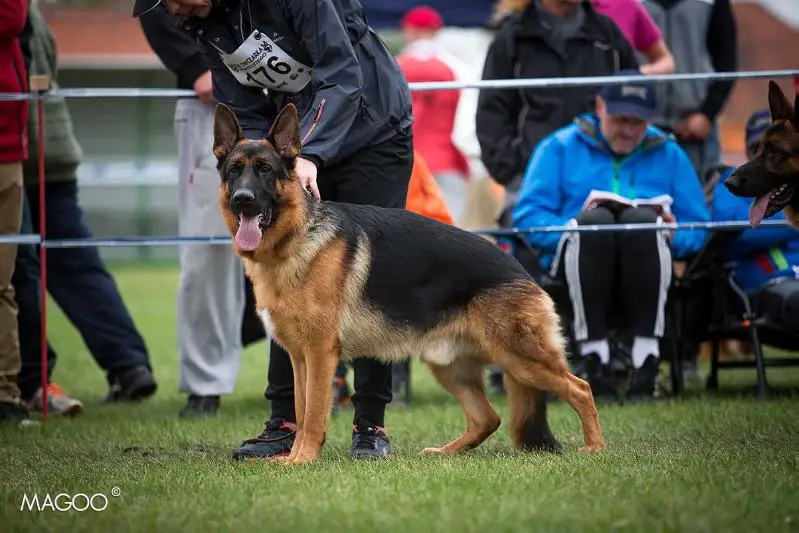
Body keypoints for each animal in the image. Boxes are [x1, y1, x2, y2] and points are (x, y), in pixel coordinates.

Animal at [212, 102, 608, 464]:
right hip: (450, 366)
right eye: (234, 171)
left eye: (265, 170)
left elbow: (312, 414)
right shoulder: (298, 356)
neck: (296, 240)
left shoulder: (321, 353)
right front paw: (293, 456)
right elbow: (299, 404)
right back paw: (444, 452)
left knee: (581, 388)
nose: (243, 199)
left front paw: (303, 459)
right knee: (488, 418)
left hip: (520, 358)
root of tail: (522, 271)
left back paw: (595, 447)